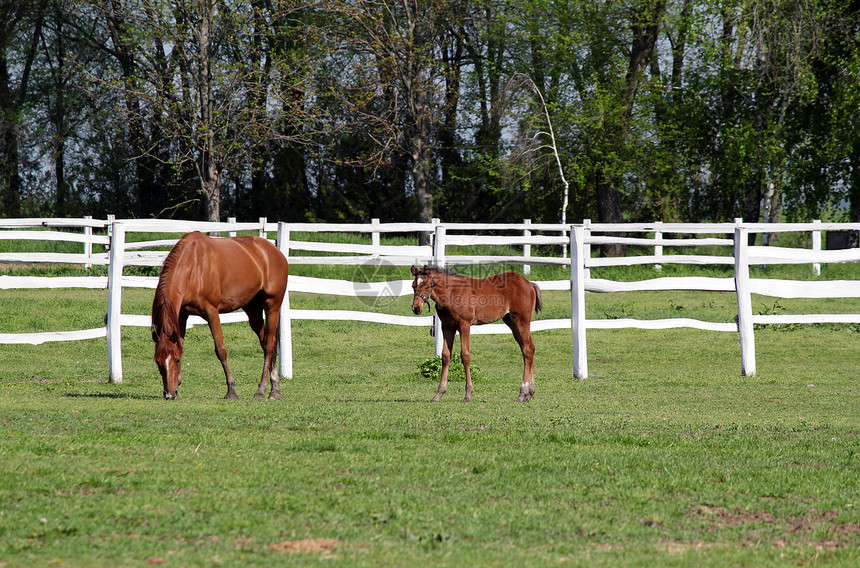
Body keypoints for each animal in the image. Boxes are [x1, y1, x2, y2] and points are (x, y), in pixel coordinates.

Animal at [151, 231, 288, 400]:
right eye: (158, 362)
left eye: (176, 361)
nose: (169, 394)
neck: (193, 266)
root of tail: (274, 251)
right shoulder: (182, 315)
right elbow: (181, 346)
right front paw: (178, 384)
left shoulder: (211, 312)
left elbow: (220, 350)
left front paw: (231, 390)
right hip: (253, 309)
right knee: (266, 342)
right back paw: (274, 387)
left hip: (272, 305)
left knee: (269, 345)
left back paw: (262, 390)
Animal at [412, 266, 544, 404]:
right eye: (413, 286)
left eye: (427, 286)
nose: (416, 308)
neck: (451, 293)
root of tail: (529, 283)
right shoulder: (447, 326)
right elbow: (445, 356)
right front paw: (438, 394)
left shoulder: (464, 325)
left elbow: (465, 356)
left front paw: (468, 394)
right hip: (511, 321)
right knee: (528, 349)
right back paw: (529, 393)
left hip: (522, 320)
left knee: (528, 349)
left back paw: (522, 393)